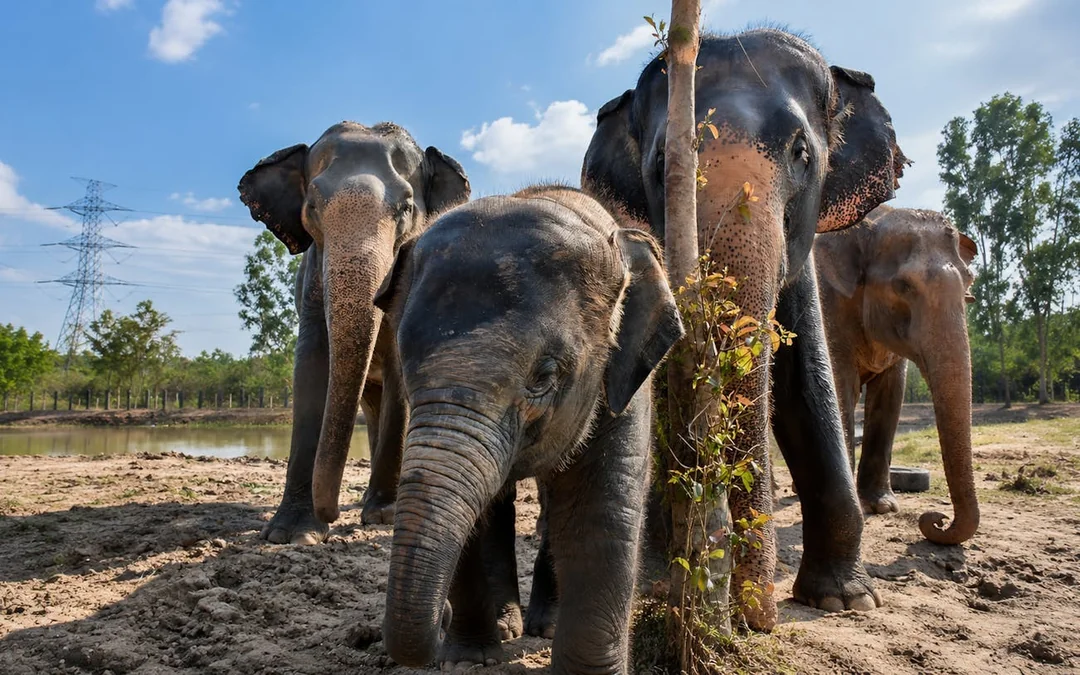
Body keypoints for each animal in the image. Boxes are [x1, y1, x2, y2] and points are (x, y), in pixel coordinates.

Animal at [237, 121, 470, 544]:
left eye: (406, 208)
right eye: (312, 207)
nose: (328, 513)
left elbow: (397, 370)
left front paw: (382, 516)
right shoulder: (311, 283)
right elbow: (311, 365)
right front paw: (291, 532)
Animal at [371, 184, 684, 674]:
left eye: (545, 375)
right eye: (404, 363)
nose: (439, 622)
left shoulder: (624, 382)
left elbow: (603, 508)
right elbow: (472, 511)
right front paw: (468, 659)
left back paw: (545, 627)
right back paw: (506, 629)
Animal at [581, 28, 908, 628]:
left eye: (802, 152)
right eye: (662, 164)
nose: (755, 617)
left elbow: (807, 389)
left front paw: (844, 600)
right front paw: (663, 584)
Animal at [815, 204, 979, 545]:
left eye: (969, 285)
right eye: (903, 286)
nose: (936, 518)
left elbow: (892, 394)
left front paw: (883, 507)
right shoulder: (830, 305)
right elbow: (840, 383)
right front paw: (860, 507)